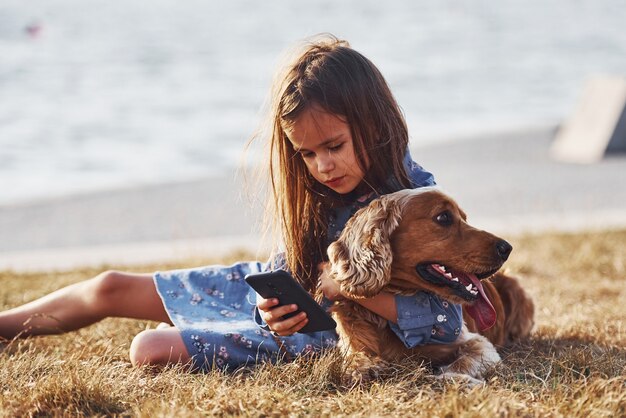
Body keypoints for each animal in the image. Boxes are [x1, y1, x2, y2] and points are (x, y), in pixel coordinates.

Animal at [326, 188, 532, 384]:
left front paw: (454, 380)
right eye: (443, 217)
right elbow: (355, 359)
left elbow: (461, 363)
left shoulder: (478, 343)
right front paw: (364, 368)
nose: (506, 248)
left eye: (464, 218)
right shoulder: (353, 342)